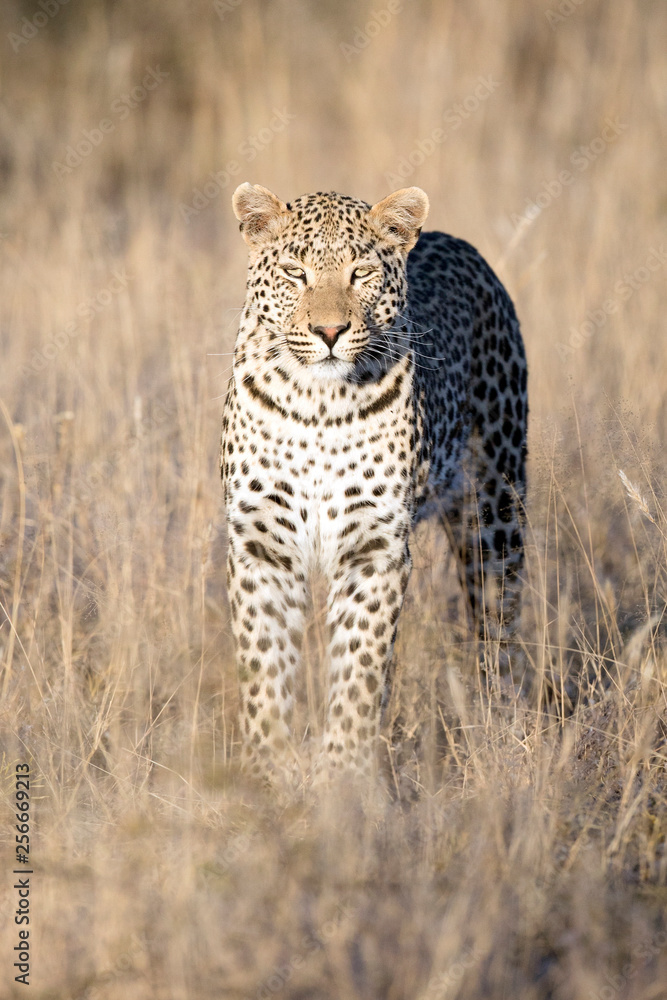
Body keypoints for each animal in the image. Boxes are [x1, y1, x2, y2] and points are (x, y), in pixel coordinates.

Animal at [220, 182, 528, 777]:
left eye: (360, 273)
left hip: (496, 508)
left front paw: (343, 770)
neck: (317, 404)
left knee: (496, 626)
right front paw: (269, 767)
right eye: (295, 273)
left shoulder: (374, 546)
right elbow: (263, 663)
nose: (329, 331)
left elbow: (360, 667)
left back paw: (498, 731)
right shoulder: (262, 542)